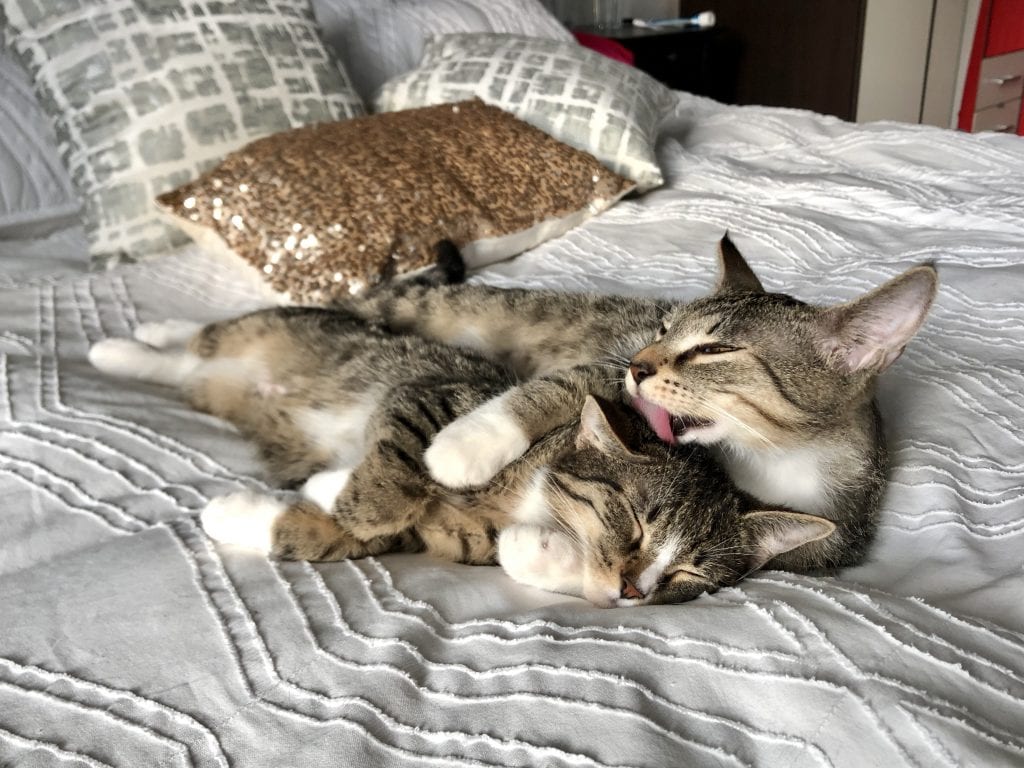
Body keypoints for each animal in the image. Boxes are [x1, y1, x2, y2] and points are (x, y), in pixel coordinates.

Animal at [83, 307, 827, 606]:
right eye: (634, 522)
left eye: (690, 575)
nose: (636, 592)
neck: (528, 494)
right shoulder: (431, 396)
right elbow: (394, 474)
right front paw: (343, 491)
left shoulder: (442, 537)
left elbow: (331, 538)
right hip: (272, 329)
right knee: (200, 336)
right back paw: (123, 342)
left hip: (212, 385)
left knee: (182, 368)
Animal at [339, 237, 937, 573]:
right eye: (664, 328)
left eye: (715, 349)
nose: (640, 365)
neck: (774, 464)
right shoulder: (608, 370)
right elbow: (560, 386)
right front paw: (470, 442)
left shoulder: (827, 544)